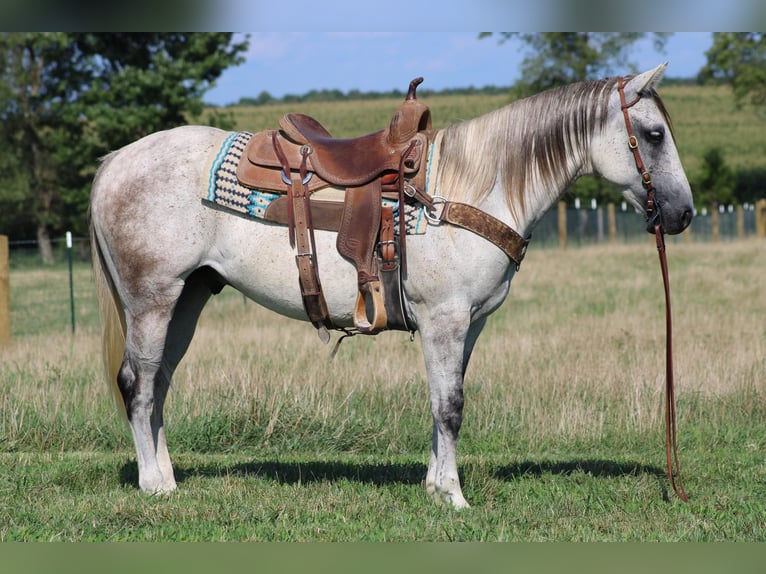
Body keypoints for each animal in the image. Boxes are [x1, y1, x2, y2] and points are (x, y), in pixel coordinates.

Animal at [90, 65, 696, 510]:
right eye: (654, 134)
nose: (683, 213)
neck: (471, 188)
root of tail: (117, 160)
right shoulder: (445, 319)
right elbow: (451, 405)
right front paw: (454, 497)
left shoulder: (466, 325)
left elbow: (441, 400)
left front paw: (434, 485)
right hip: (152, 300)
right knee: (137, 384)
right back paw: (154, 485)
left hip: (188, 298)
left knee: (160, 382)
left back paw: (167, 475)